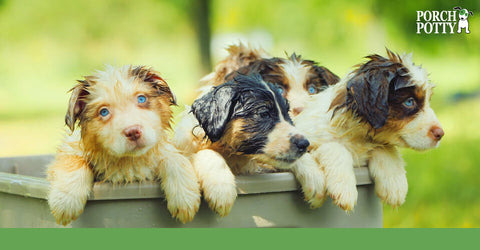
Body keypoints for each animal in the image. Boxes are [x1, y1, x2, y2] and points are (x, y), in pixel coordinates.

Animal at [47, 65, 201, 226]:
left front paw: (185, 197)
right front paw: (65, 200)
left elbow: (174, 158)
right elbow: (73, 160)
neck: (129, 161)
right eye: (104, 112)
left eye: (141, 99)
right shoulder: (72, 147)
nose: (133, 132)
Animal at [189, 73, 324, 216]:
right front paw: (221, 189)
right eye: (264, 114)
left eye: (287, 114)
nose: (304, 144)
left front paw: (315, 179)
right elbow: (207, 153)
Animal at [296, 48, 446, 211]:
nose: (440, 134)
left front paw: (394, 184)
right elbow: (335, 147)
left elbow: (385, 147)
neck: (357, 133)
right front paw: (344, 189)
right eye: (409, 102)